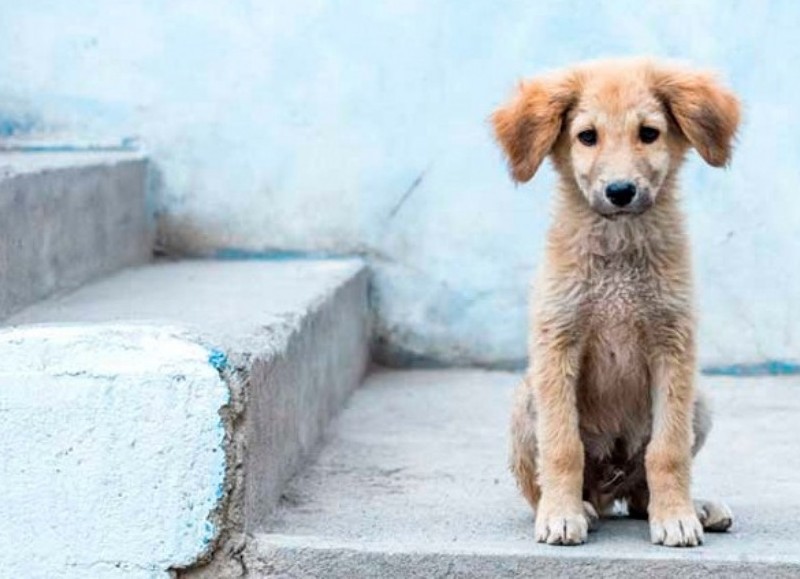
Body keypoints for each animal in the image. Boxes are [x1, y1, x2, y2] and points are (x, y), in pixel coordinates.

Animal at [490, 59, 740, 548]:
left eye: (649, 133)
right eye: (587, 136)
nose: (620, 191)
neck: (619, 253)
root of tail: (612, 486)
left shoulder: (673, 346)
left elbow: (668, 450)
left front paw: (676, 517)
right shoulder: (558, 343)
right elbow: (562, 446)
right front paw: (561, 515)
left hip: (699, 402)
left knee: (641, 491)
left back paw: (694, 508)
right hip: (525, 403)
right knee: (552, 485)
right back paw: (579, 507)